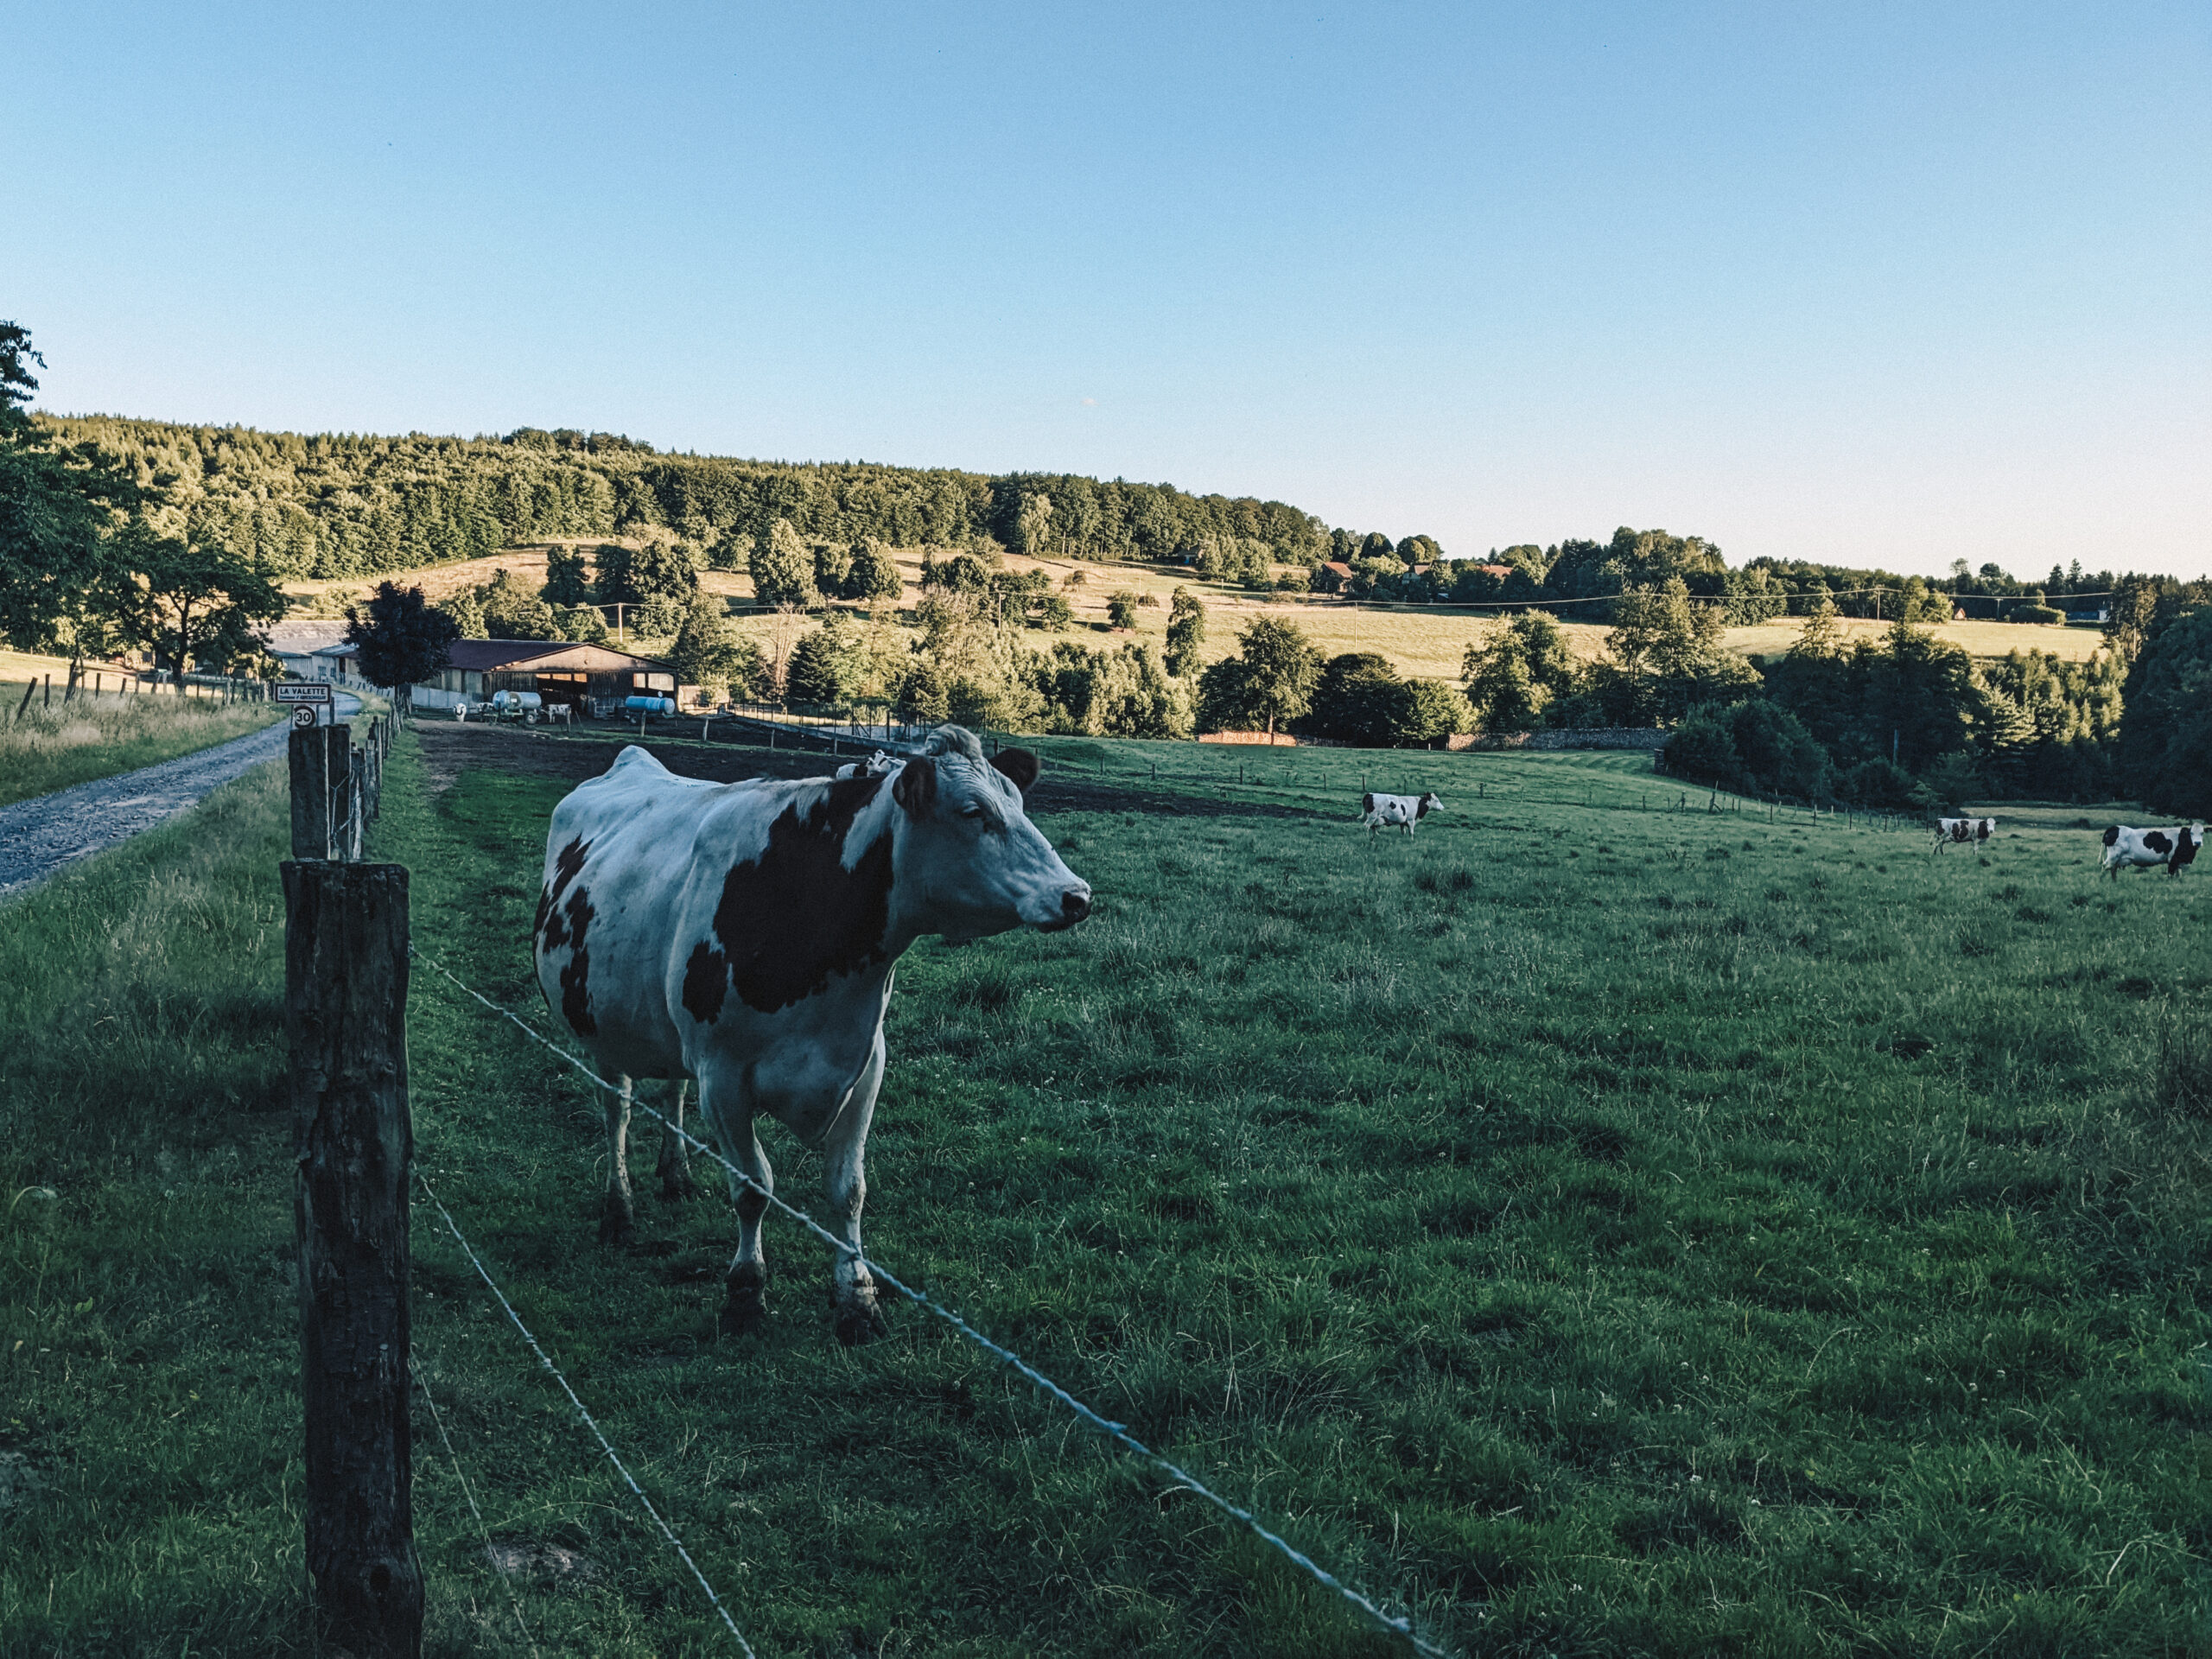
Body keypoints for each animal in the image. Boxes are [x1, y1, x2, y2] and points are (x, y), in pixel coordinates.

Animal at [535, 725, 1088, 1336]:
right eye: (973, 811)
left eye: (1019, 803)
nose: (1077, 895)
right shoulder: (723, 1076)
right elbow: (753, 1187)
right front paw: (745, 1292)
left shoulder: (864, 1067)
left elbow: (848, 1191)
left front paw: (857, 1298)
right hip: (598, 1026)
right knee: (618, 1112)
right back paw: (619, 1210)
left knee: (670, 1090)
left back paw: (676, 1176)